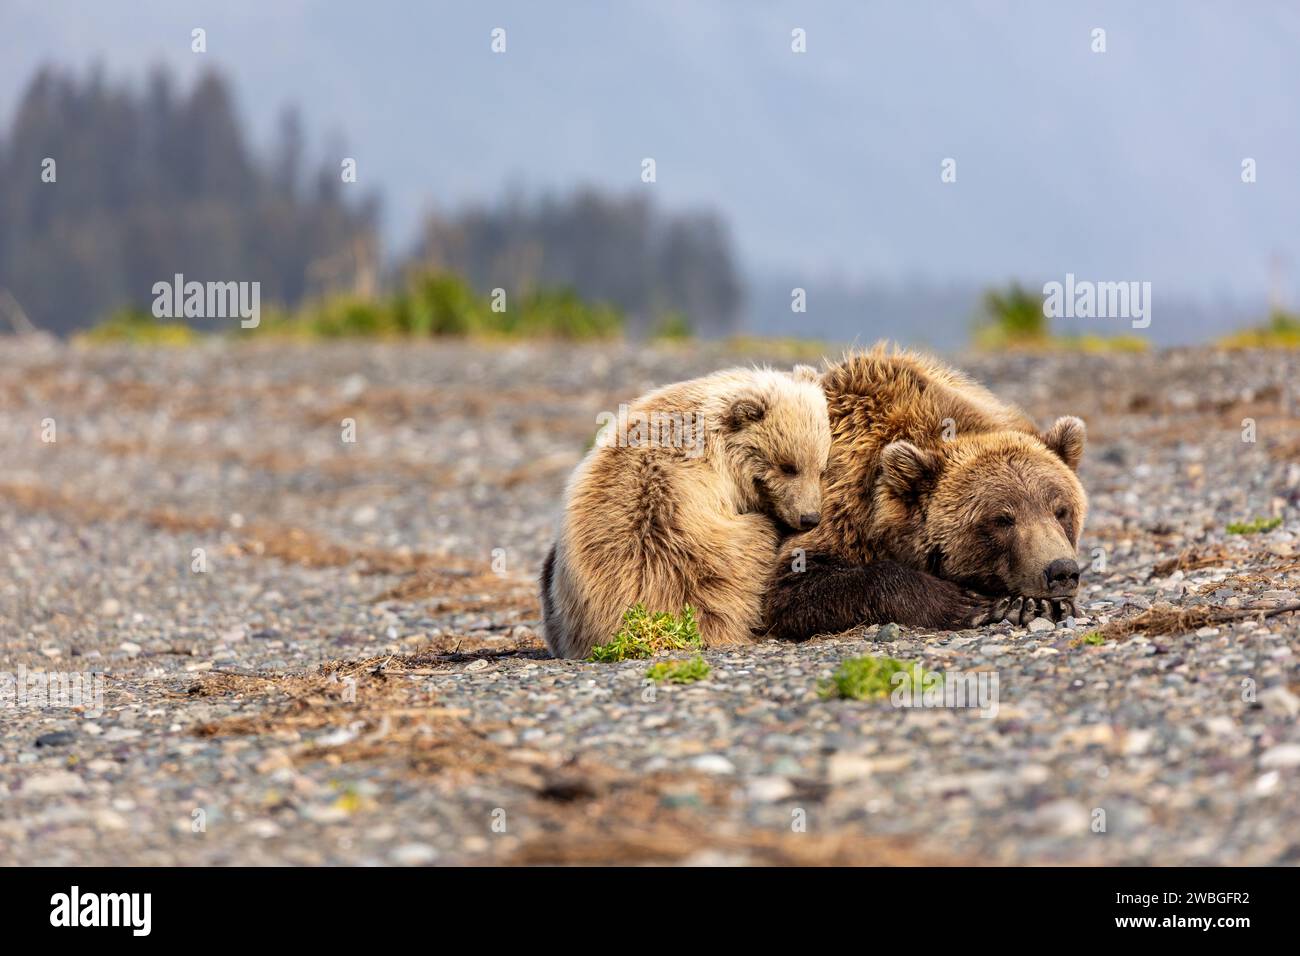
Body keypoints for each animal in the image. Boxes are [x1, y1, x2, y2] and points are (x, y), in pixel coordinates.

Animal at [762, 344, 1088, 640]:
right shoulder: (837, 502)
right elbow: (794, 584)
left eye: (1060, 510)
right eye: (1002, 519)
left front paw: (1044, 606)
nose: (1061, 571)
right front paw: (968, 604)